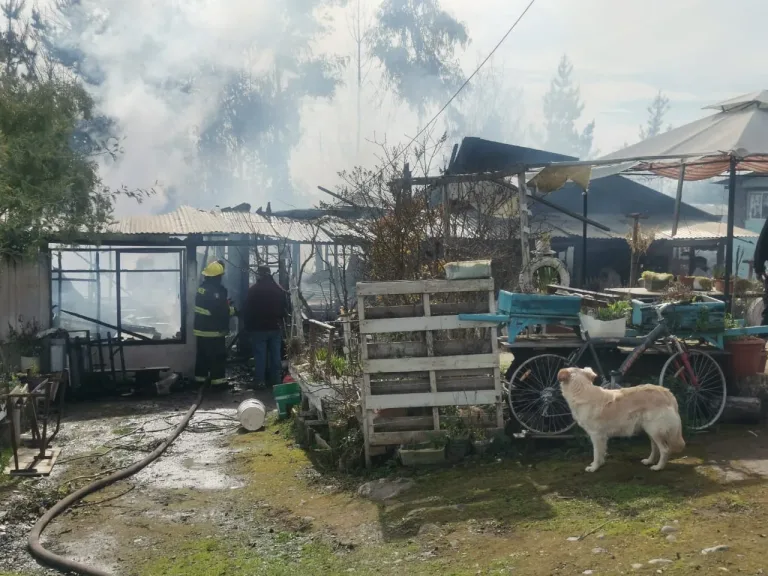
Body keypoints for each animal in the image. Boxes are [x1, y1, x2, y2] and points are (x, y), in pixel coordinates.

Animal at [556, 366, 688, 470]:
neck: (582, 391)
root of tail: (666, 392)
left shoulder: (596, 435)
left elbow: (596, 453)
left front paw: (594, 467)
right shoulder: (601, 437)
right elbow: (601, 453)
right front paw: (599, 464)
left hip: (655, 430)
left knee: (665, 449)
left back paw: (658, 467)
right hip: (651, 430)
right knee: (655, 447)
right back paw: (649, 461)